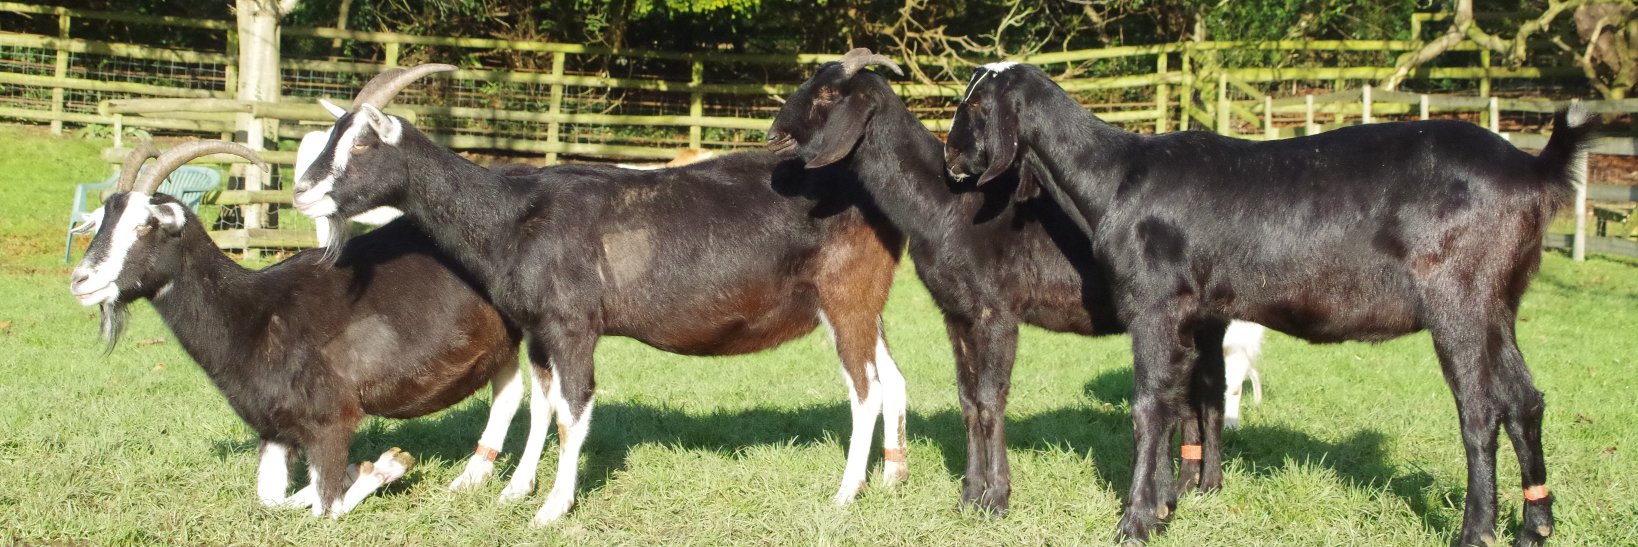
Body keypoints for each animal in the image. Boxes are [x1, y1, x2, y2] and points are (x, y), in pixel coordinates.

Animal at [69, 141, 539, 517]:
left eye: (146, 225)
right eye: (103, 222)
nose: (80, 281)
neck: (253, 312)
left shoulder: (332, 418)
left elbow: (327, 508)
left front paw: (385, 466)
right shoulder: (274, 428)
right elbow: (270, 501)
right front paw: (359, 469)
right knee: (508, 391)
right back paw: (471, 478)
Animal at [290, 64, 909, 525]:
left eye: (361, 144)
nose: (302, 192)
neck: (514, 214)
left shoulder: (574, 326)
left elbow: (572, 412)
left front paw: (552, 510)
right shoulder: (539, 331)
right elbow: (542, 407)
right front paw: (515, 492)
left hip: (845, 295)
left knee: (866, 389)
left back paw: (845, 493)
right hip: (867, 304)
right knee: (894, 377)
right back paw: (893, 474)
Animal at [764, 48, 1266, 515]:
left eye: (829, 94)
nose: (773, 136)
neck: (948, 207)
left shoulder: (997, 312)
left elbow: (991, 399)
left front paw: (997, 499)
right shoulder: (957, 313)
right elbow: (968, 401)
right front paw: (969, 496)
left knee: (1208, 390)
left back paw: (1202, 486)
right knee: (1197, 390)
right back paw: (1189, 486)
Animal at [945, 62, 1594, 545]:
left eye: (974, 107)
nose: (952, 159)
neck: (1117, 179)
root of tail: (1534, 169)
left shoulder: (1157, 304)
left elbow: (1149, 406)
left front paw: (1134, 522)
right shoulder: (1192, 314)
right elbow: (1180, 400)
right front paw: (1166, 507)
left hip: (1458, 295)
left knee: (1480, 410)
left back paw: (1475, 531)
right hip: (1498, 301)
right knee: (1524, 401)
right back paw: (1535, 527)